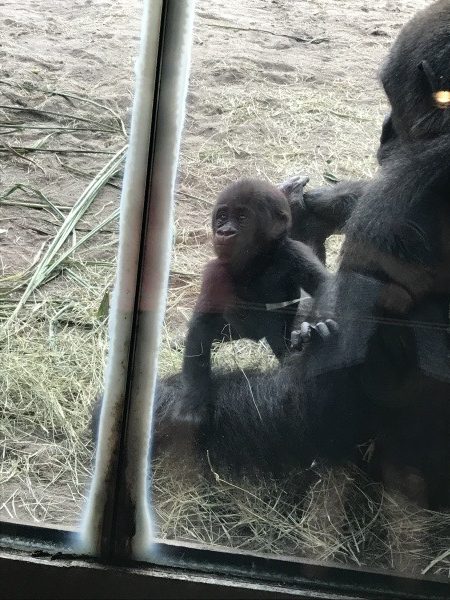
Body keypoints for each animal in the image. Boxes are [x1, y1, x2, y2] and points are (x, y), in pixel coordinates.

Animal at [178, 179, 328, 432]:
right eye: (222, 217)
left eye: (242, 218)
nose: (224, 232)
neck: (258, 261)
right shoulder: (215, 271)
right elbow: (201, 325)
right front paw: (193, 399)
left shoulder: (294, 252)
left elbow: (325, 285)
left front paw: (312, 331)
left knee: (281, 344)